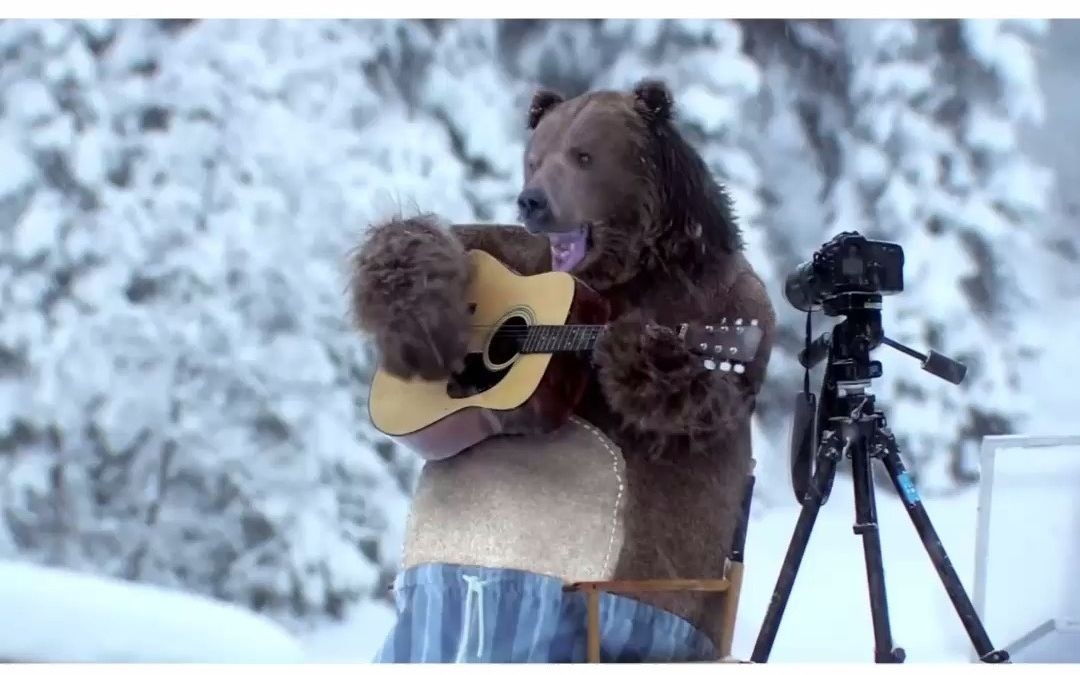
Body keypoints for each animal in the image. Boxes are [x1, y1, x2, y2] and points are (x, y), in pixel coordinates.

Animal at [352, 77, 777, 656]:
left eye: (584, 156)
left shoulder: (732, 302)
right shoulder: (514, 249)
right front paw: (424, 317)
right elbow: (436, 237)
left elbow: (701, 405)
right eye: (534, 159)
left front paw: (639, 353)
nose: (531, 200)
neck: (622, 274)